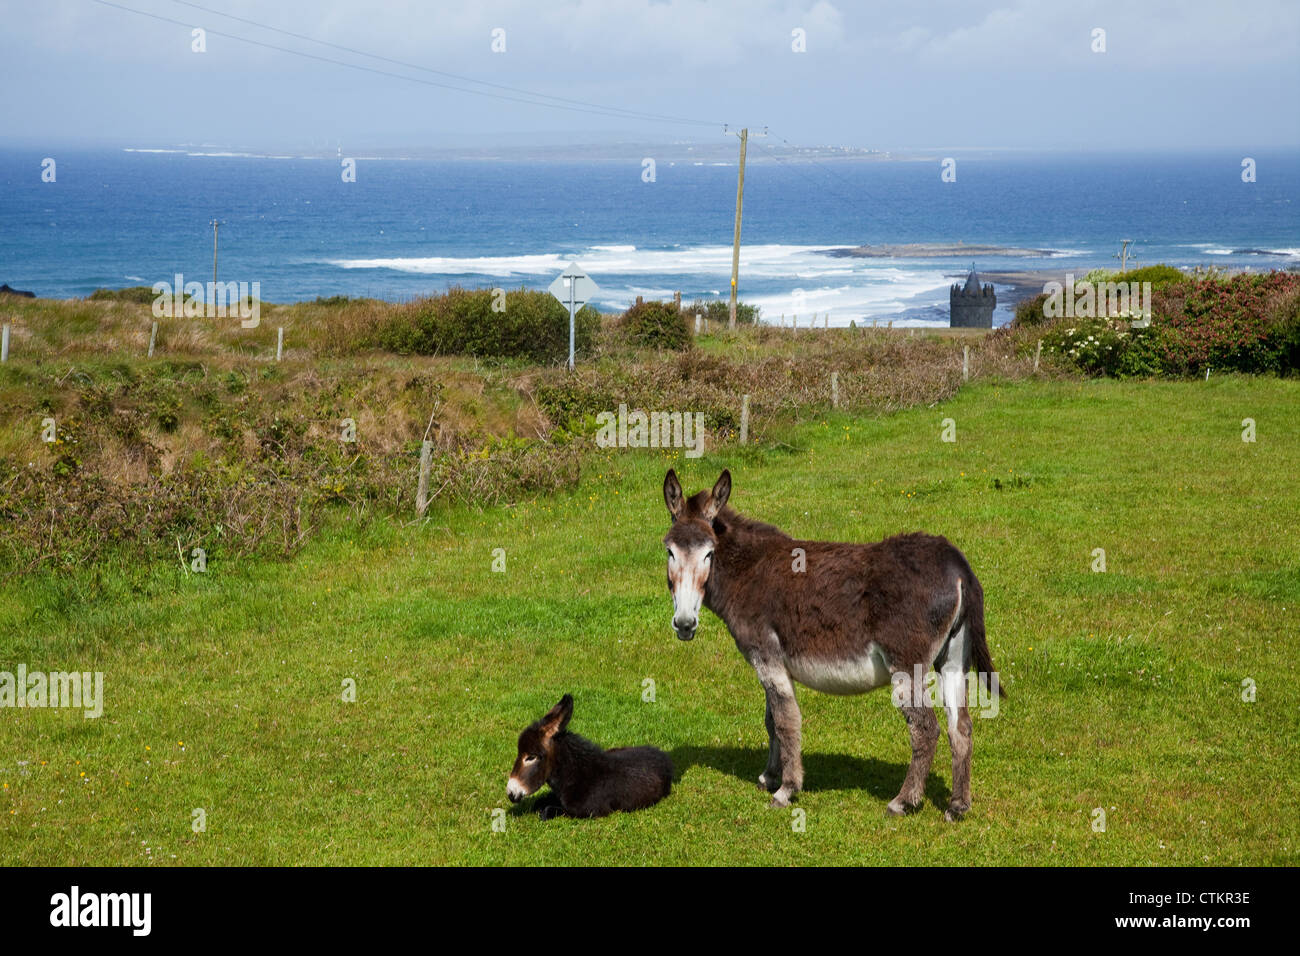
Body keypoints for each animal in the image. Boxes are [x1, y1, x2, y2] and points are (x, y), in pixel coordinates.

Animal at [504, 697, 670, 822]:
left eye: (531, 757)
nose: (510, 793)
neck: (574, 774)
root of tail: (660, 753)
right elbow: (542, 801)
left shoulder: (589, 811)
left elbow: (549, 810)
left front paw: (545, 810)